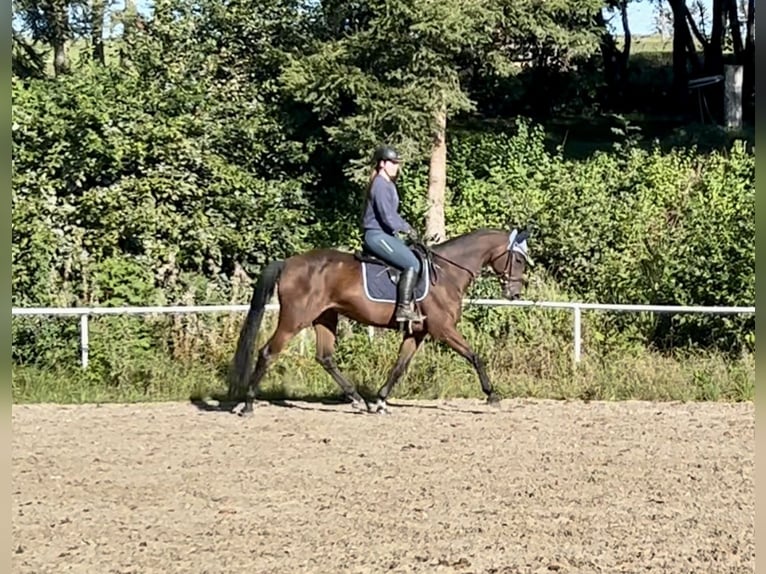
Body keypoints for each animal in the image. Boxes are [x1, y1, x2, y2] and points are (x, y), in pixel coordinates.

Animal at [228, 226, 536, 418]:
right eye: (519, 260)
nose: (514, 293)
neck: (447, 272)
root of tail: (289, 262)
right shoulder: (443, 329)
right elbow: (475, 355)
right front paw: (492, 395)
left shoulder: (417, 332)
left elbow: (400, 366)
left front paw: (380, 400)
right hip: (295, 319)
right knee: (268, 352)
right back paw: (248, 404)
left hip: (325, 317)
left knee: (325, 357)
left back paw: (357, 399)